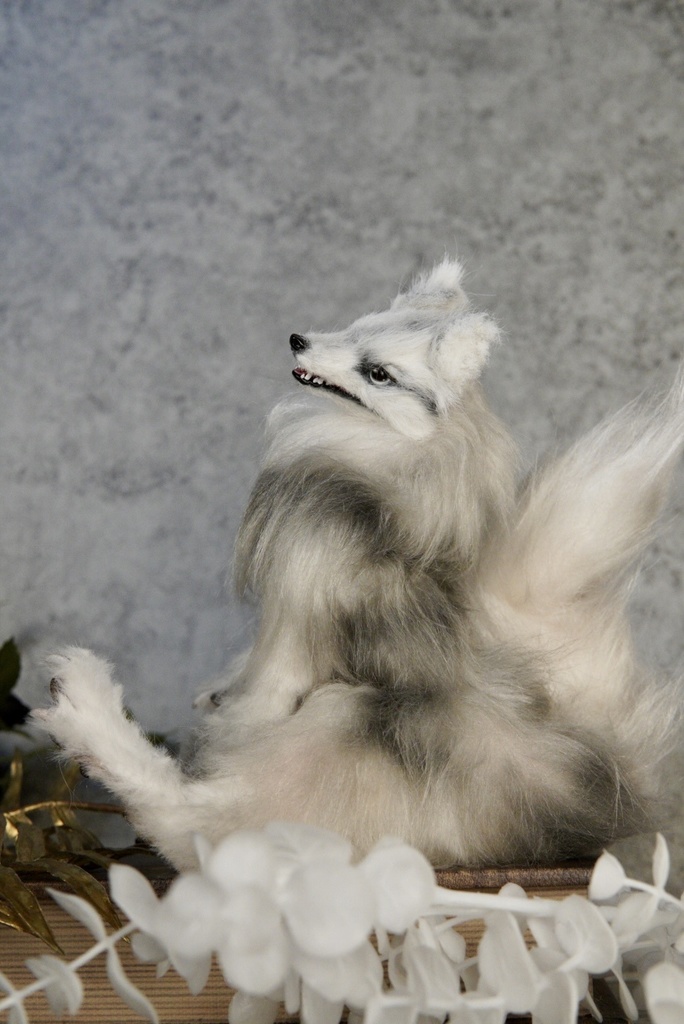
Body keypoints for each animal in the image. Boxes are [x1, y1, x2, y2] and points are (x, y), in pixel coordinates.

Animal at [31, 259, 683, 871]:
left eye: (378, 373)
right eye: (351, 328)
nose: (298, 339)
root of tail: (603, 774)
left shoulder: (302, 598)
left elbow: (266, 688)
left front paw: (228, 719)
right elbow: (249, 671)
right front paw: (220, 693)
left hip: (335, 732)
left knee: (199, 828)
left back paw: (88, 709)